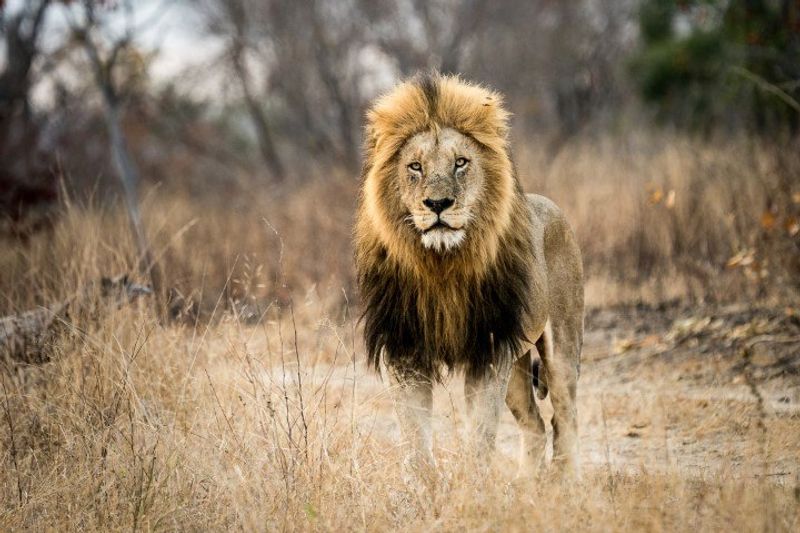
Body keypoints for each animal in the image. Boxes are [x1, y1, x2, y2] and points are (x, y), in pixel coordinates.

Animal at [354, 73, 584, 477]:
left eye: (461, 163)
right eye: (415, 167)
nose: (438, 204)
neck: (441, 265)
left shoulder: (488, 350)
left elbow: (480, 436)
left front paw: (476, 486)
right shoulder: (404, 352)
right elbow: (415, 440)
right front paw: (425, 488)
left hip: (561, 350)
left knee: (565, 419)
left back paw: (567, 485)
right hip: (517, 367)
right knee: (536, 425)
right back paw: (525, 486)